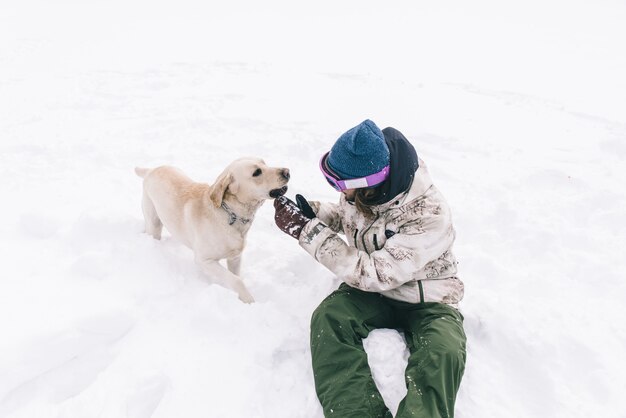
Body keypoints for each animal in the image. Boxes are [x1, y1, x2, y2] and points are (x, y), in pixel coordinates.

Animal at [135, 158, 288, 302]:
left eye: (264, 163)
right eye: (256, 172)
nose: (287, 171)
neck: (232, 213)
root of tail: (151, 170)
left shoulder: (235, 258)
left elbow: (236, 276)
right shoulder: (204, 261)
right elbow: (236, 280)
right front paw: (249, 301)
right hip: (154, 222)